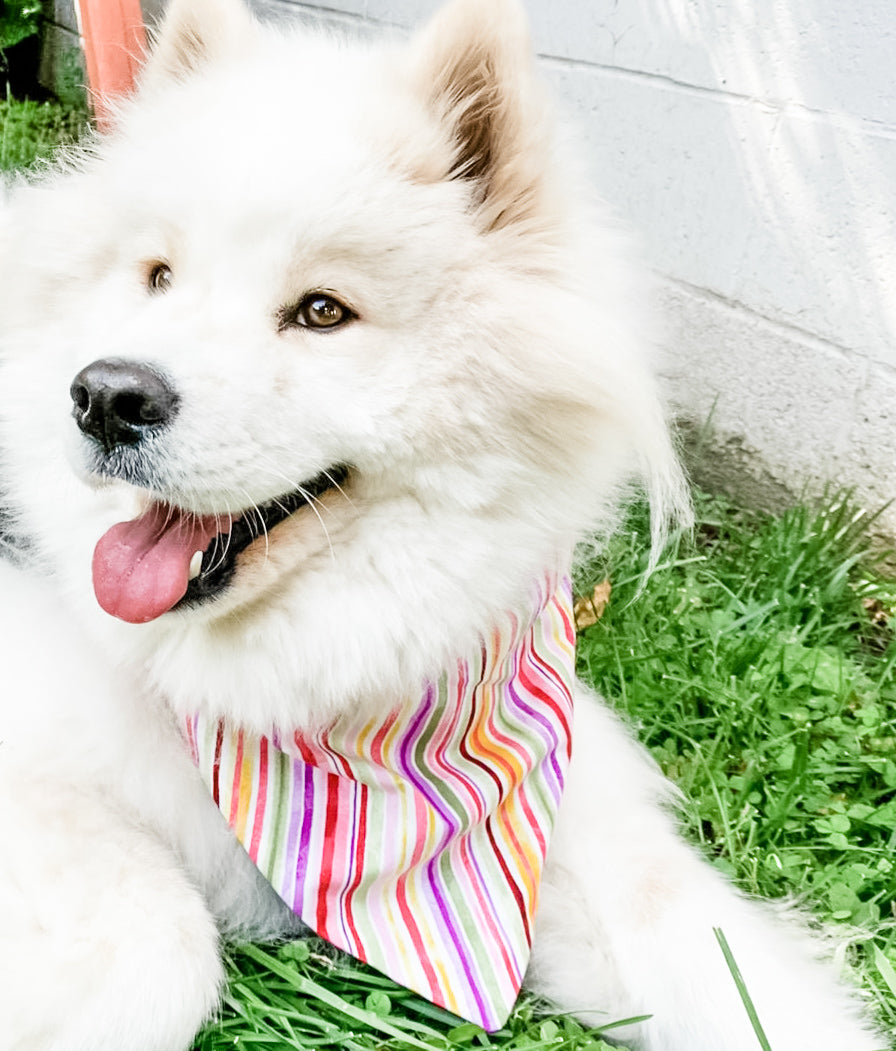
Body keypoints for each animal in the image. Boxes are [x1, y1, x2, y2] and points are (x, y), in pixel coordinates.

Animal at [0, 0, 886, 1046]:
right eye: (160, 277)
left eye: (322, 311)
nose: (105, 396)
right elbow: (162, 938)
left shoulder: (554, 826)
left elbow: (719, 960)